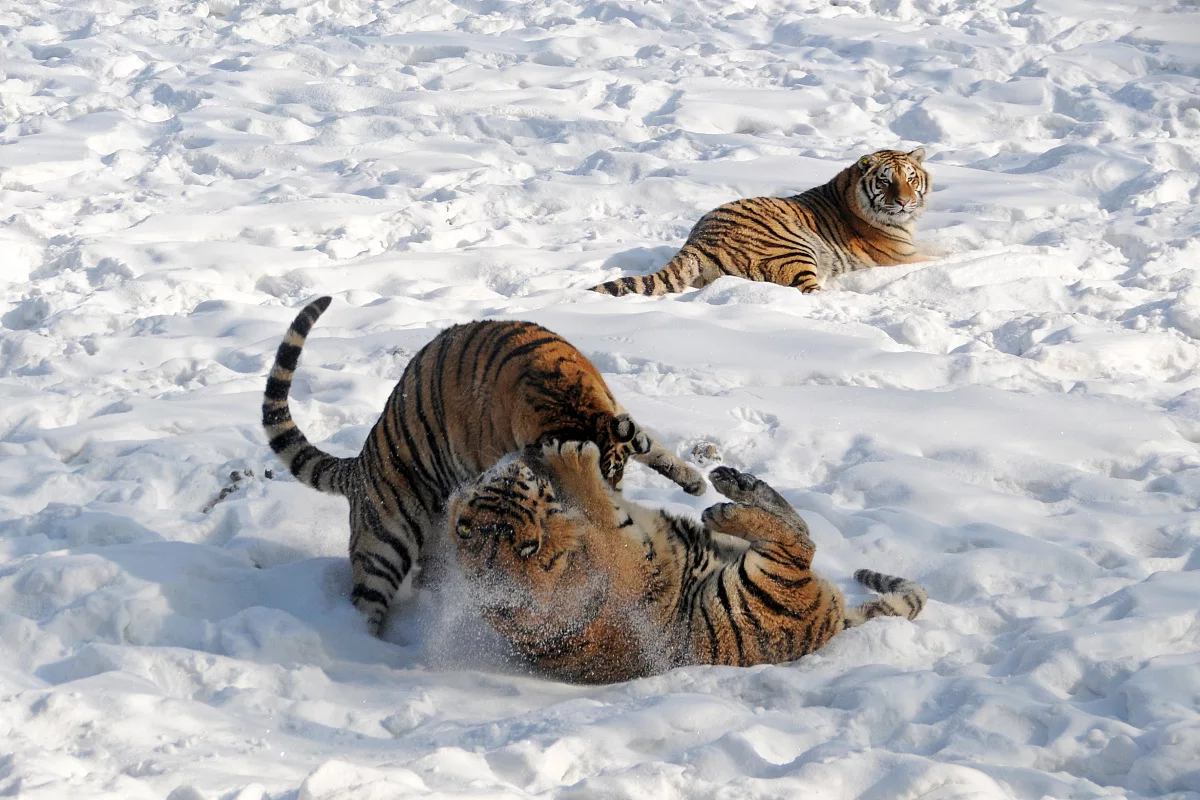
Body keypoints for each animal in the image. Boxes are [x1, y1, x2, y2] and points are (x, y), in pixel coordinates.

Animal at [261, 293, 700, 633]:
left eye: (618, 477)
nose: (610, 511)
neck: (569, 399)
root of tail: (358, 465)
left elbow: (650, 443)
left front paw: (693, 479)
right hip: (385, 540)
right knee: (366, 601)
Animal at [446, 438, 921, 681]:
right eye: (506, 484)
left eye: (491, 484)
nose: (511, 464)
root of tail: (832, 622)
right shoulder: (625, 555)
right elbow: (597, 499)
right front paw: (572, 456)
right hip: (763, 583)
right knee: (798, 543)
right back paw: (725, 507)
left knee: (799, 526)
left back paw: (733, 481)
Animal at [595, 148, 931, 297]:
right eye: (885, 181)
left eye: (910, 178)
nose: (904, 201)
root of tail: (697, 240)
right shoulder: (903, 254)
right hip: (795, 247)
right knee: (810, 291)